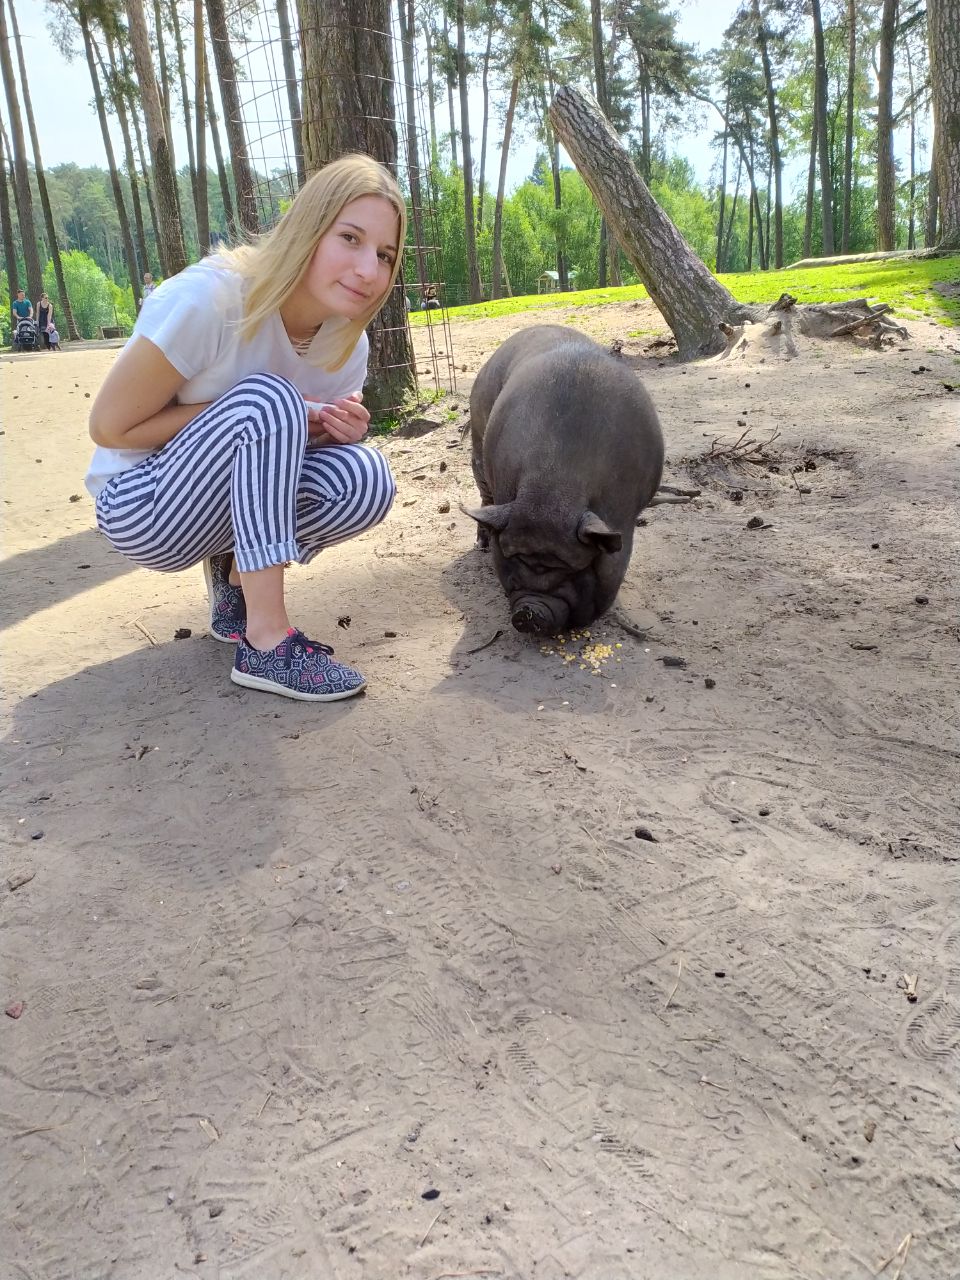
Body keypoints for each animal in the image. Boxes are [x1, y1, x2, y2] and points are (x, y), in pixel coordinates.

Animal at [462, 324, 664, 636]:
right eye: (513, 558)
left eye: (572, 568)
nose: (530, 611)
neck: (552, 491)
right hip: (477, 436)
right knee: (485, 498)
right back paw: (481, 544)